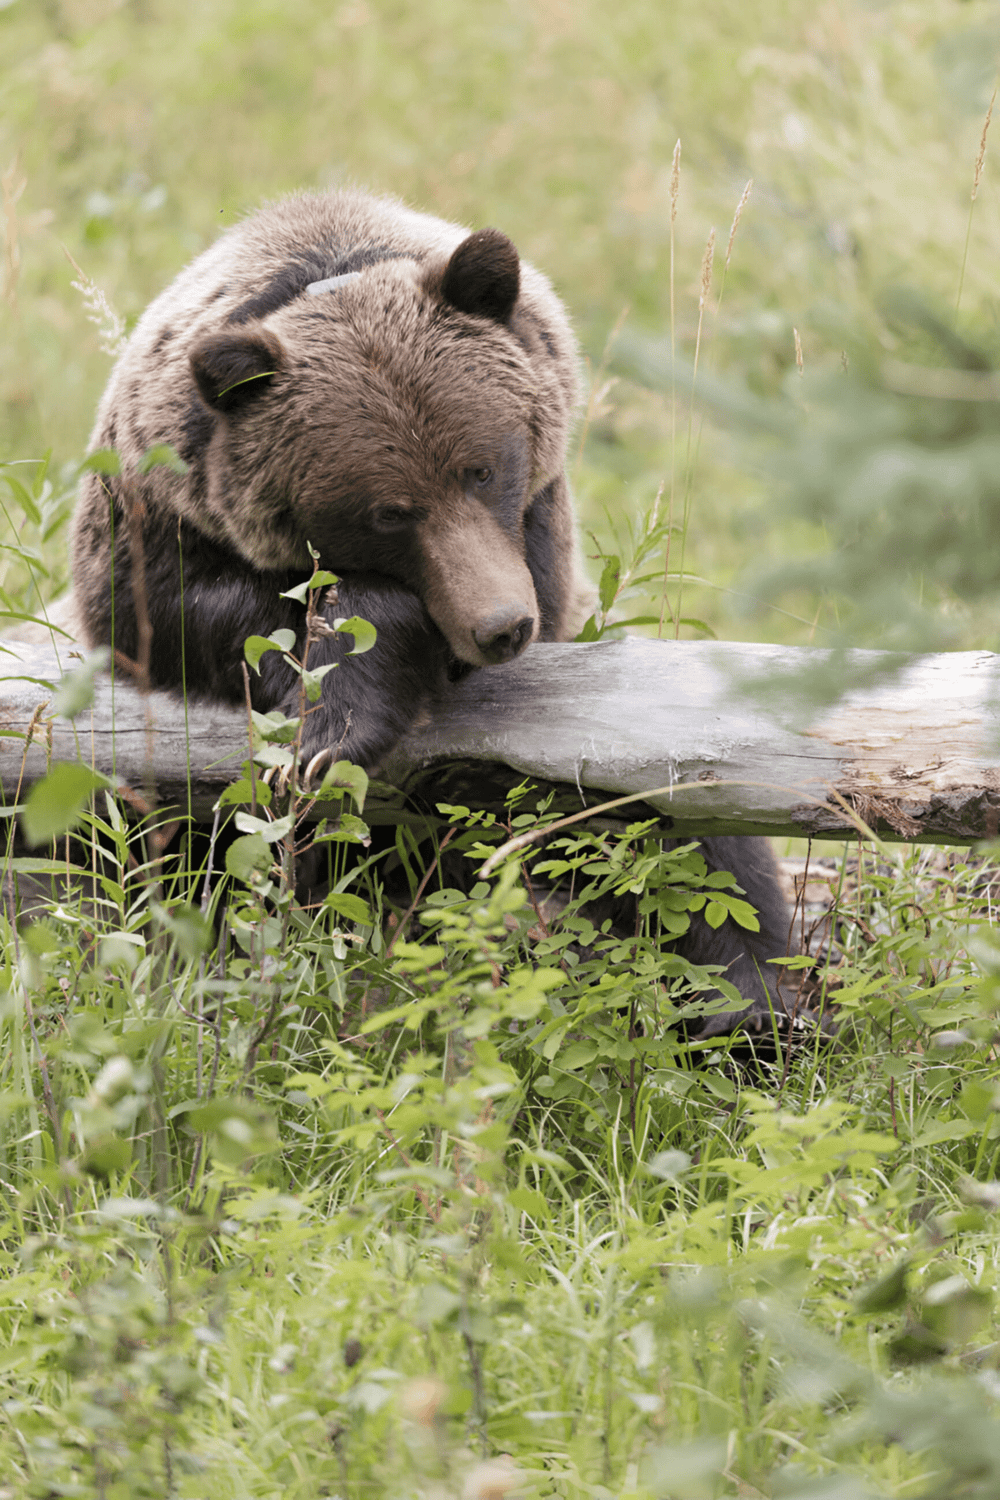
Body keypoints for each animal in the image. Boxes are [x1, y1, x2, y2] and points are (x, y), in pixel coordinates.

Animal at [70, 187, 796, 1034]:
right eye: (389, 512)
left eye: (481, 467)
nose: (500, 626)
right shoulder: (155, 517)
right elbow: (188, 616)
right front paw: (335, 729)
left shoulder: (543, 538)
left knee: (702, 861)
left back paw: (752, 1010)